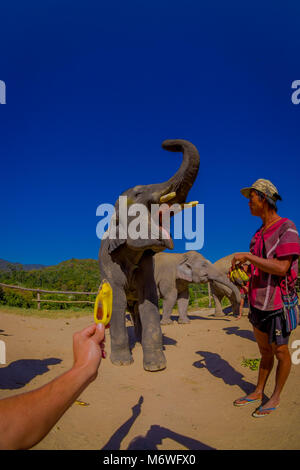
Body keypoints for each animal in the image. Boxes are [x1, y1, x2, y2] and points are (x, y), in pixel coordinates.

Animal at [99, 139, 200, 370]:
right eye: (138, 194)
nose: (166, 144)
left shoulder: (147, 263)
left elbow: (150, 301)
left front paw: (156, 366)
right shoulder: (110, 262)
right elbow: (117, 300)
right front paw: (122, 363)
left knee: (136, 310)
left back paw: (138, 339)